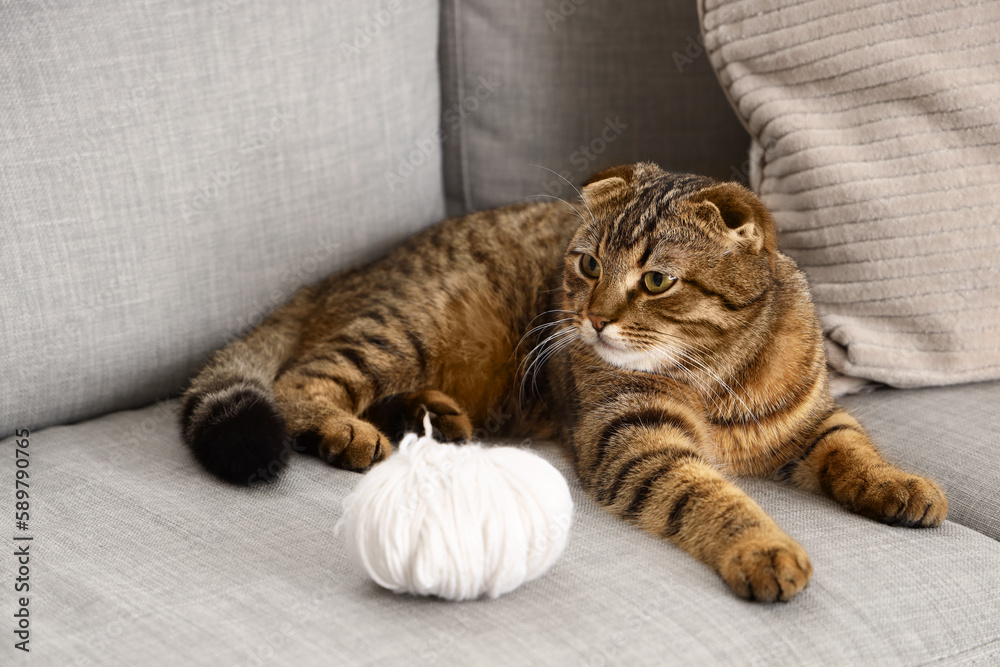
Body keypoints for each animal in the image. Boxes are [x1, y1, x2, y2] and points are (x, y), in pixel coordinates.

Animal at [180, 163, 944, 604]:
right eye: (587, 264)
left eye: (655, 280)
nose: (592, 318)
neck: (720, 370)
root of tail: (345, 273)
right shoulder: (634, 440)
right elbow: (714, 498)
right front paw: (763, 546)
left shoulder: (817, 419)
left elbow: (856, 451)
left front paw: (898, 483)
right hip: (407, 329)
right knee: (302, 380)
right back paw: (347, 431)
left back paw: (432, 418)